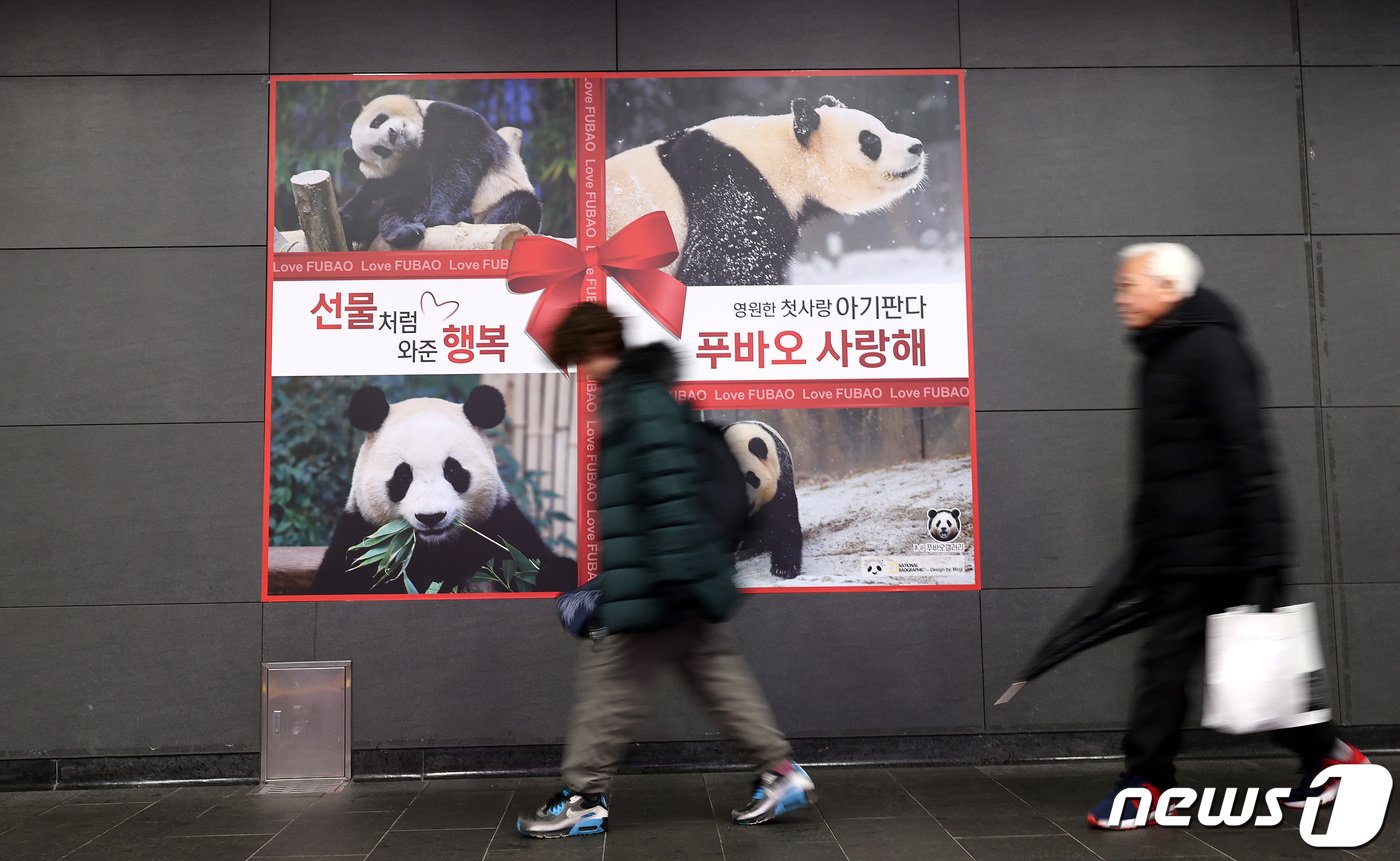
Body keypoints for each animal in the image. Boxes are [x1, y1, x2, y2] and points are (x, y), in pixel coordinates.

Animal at [313, 386, 579, 596]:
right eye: (403, 476)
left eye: (452, 470)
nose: (431, 517)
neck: (437, 549)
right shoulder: (360, 538)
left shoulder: (502, 528)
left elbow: (539, 565)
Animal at [333, 95, 540, 249]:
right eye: (380, 150)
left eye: (377, 121)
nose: (391, 134)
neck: (419, 142)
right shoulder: (397, 175)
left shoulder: (451, 118)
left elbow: (456, 167)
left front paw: (436, 216)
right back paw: (402, 231)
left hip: (501, 199)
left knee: (518, 205)